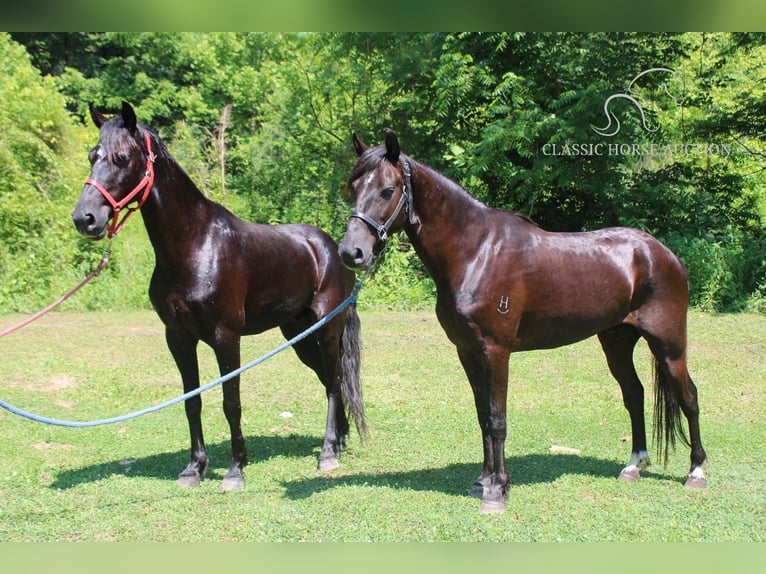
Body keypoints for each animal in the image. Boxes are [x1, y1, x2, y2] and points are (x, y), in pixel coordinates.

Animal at [70, 102, 366, 490]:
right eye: (93, 156)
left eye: (121, 158)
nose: (84, 218)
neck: (195, 245)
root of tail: (332, 248)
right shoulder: (178, 338)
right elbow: (191, 402)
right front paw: (194, 468)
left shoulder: (226, 337)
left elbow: (231, 403)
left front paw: (235, 470)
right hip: (298, 334)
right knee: (327, 377)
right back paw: (340, 439)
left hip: (327, 329)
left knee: (333, 381)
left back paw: (328, 452)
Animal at [340, 132, 708, 516]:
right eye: (352, 187)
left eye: (387, 189)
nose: (351, 253)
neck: (476, 252)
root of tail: (664, 254)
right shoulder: (467, 352)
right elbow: (483, 417)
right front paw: (482, 482)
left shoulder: (496, 351)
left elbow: (497, 419)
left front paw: (498, 490)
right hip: (617, 341)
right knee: (634, 395)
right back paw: (634, 465)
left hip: (669, 345)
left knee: (689, 396)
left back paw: (696, 472)